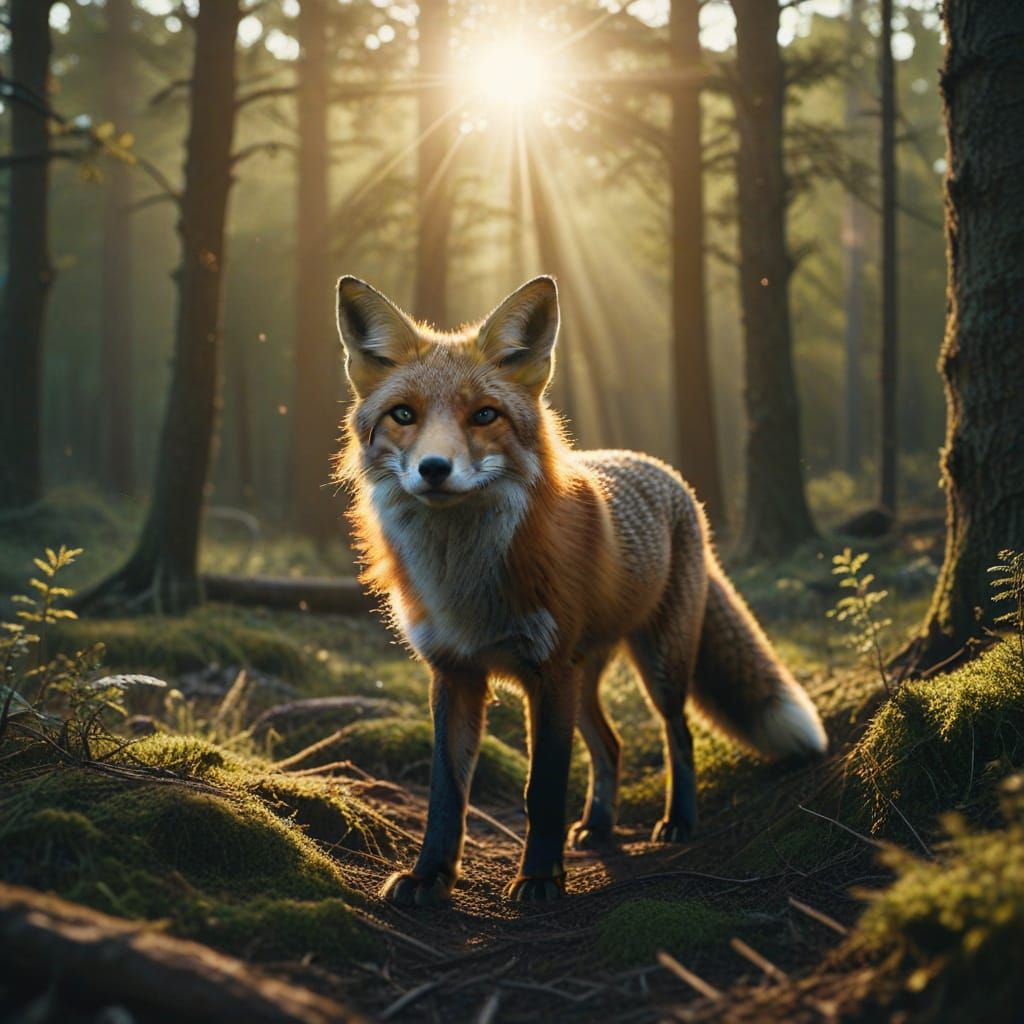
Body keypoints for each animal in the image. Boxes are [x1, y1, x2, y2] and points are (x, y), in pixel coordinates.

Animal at [333, 274, 827, 906]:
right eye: (403, 415)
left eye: (485, 415)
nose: (434, 469)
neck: (466, 581)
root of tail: (667, 474)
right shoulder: (456, 673)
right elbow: (447, 794)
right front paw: (430, 876)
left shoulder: (547, 671)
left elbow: (542, 790)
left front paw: (541, 878)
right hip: (585, 675)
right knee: (611, 744)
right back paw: (598, 825)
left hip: (656, 665)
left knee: (679, 734)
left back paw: (678, 820)